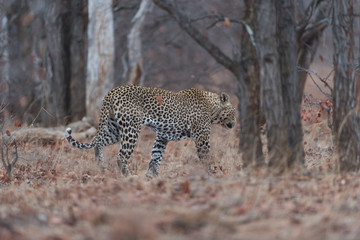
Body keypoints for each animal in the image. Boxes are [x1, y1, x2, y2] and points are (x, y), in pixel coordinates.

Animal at [65, 85, 236, 177]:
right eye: (233, 112)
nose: (234, 123)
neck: (213, 109)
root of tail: (113, 91)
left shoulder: (162, 137)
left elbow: (155, 157)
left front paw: (152, 177)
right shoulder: (202, 137)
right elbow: (206, 157)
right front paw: (209, 174)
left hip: (114, 128)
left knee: (98, 143)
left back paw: (101, 166)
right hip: (131, 129)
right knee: (121, 156)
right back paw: (129, 177)